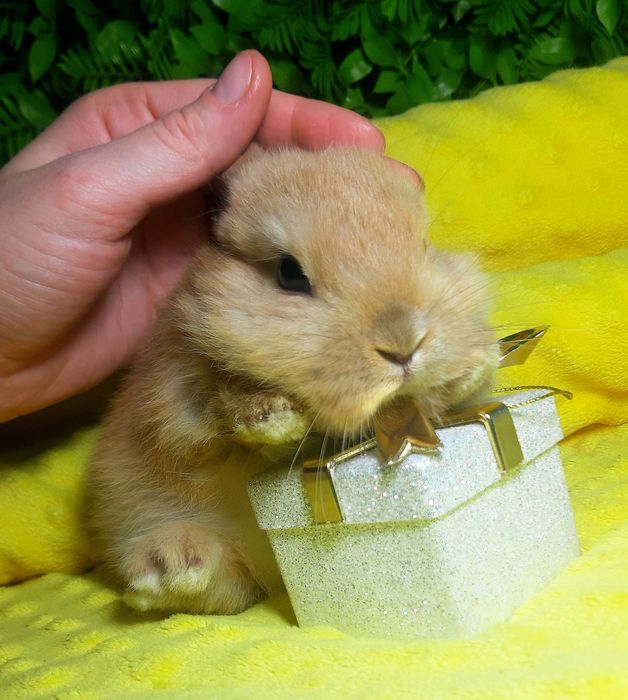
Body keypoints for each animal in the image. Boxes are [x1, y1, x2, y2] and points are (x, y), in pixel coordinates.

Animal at [87, 146, 498, 615]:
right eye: (289, 274)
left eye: (424, 246)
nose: (403, 342)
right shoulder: (177, 389)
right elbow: (218, 407)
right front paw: (274, 417)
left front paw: (473, 366)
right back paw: (170, 566)